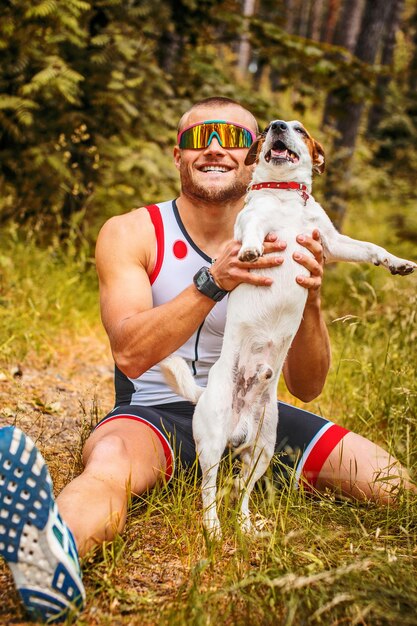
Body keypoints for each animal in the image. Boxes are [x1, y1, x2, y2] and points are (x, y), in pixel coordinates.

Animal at [161, 119, 414, 532]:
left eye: (300, 129)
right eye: (267, 130)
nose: (279, 125)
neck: (285, 197)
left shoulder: (330, 241)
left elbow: (370, 249)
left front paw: (398, 263)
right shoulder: (253, 222)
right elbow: (252, 230)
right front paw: (251, 250)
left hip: (262, 450)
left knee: (243, 492)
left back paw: (246, 526)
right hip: (212, 443)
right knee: (209, 491)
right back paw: (214, 529)